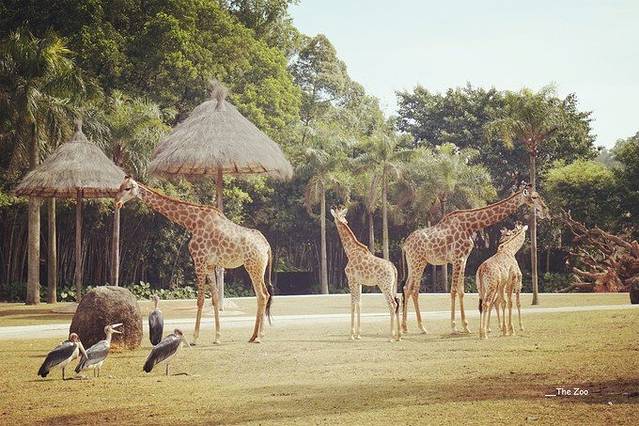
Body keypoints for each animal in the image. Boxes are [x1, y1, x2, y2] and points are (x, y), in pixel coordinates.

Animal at [115, 176, 272, 344]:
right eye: (120, 187)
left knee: (262, 296)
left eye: (127, 188)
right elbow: (214, 298)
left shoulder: (199, 261)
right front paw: (217, 337)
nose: (116, 202)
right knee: (264, 295)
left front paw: (195, 338)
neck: (191, 223)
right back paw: (254, 335)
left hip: (253, 267)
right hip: (258, 268)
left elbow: (200, 299)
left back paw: (259, 336)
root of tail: (267, 246)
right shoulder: (209, 265)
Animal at [330, 207, 400, 341]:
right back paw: (399, 336)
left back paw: (391, 336)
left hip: (384, 285)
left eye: (336, 216)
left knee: (392, 304)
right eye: (343, 216)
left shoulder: (351, 280)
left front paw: (351, 335)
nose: (344, 221)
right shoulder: (359, 282)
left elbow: (352, 304)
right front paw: (358, 334)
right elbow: (359, 303)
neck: (350, 252)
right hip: (392, 286)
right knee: (398, 301)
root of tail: (393, 268)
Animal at [401, 183, 548, 334]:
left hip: (413, 263)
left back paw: (405, 327)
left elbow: (461, 291)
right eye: (534, 196)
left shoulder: (464, 259)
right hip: (419, 262)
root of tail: (405, 245)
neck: (470, 225)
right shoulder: (457, 258)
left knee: (407, 287)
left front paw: (466, 326)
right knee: (415, 290)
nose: (545, 210)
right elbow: (453, 290)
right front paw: (454, 326)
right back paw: (422, 327)